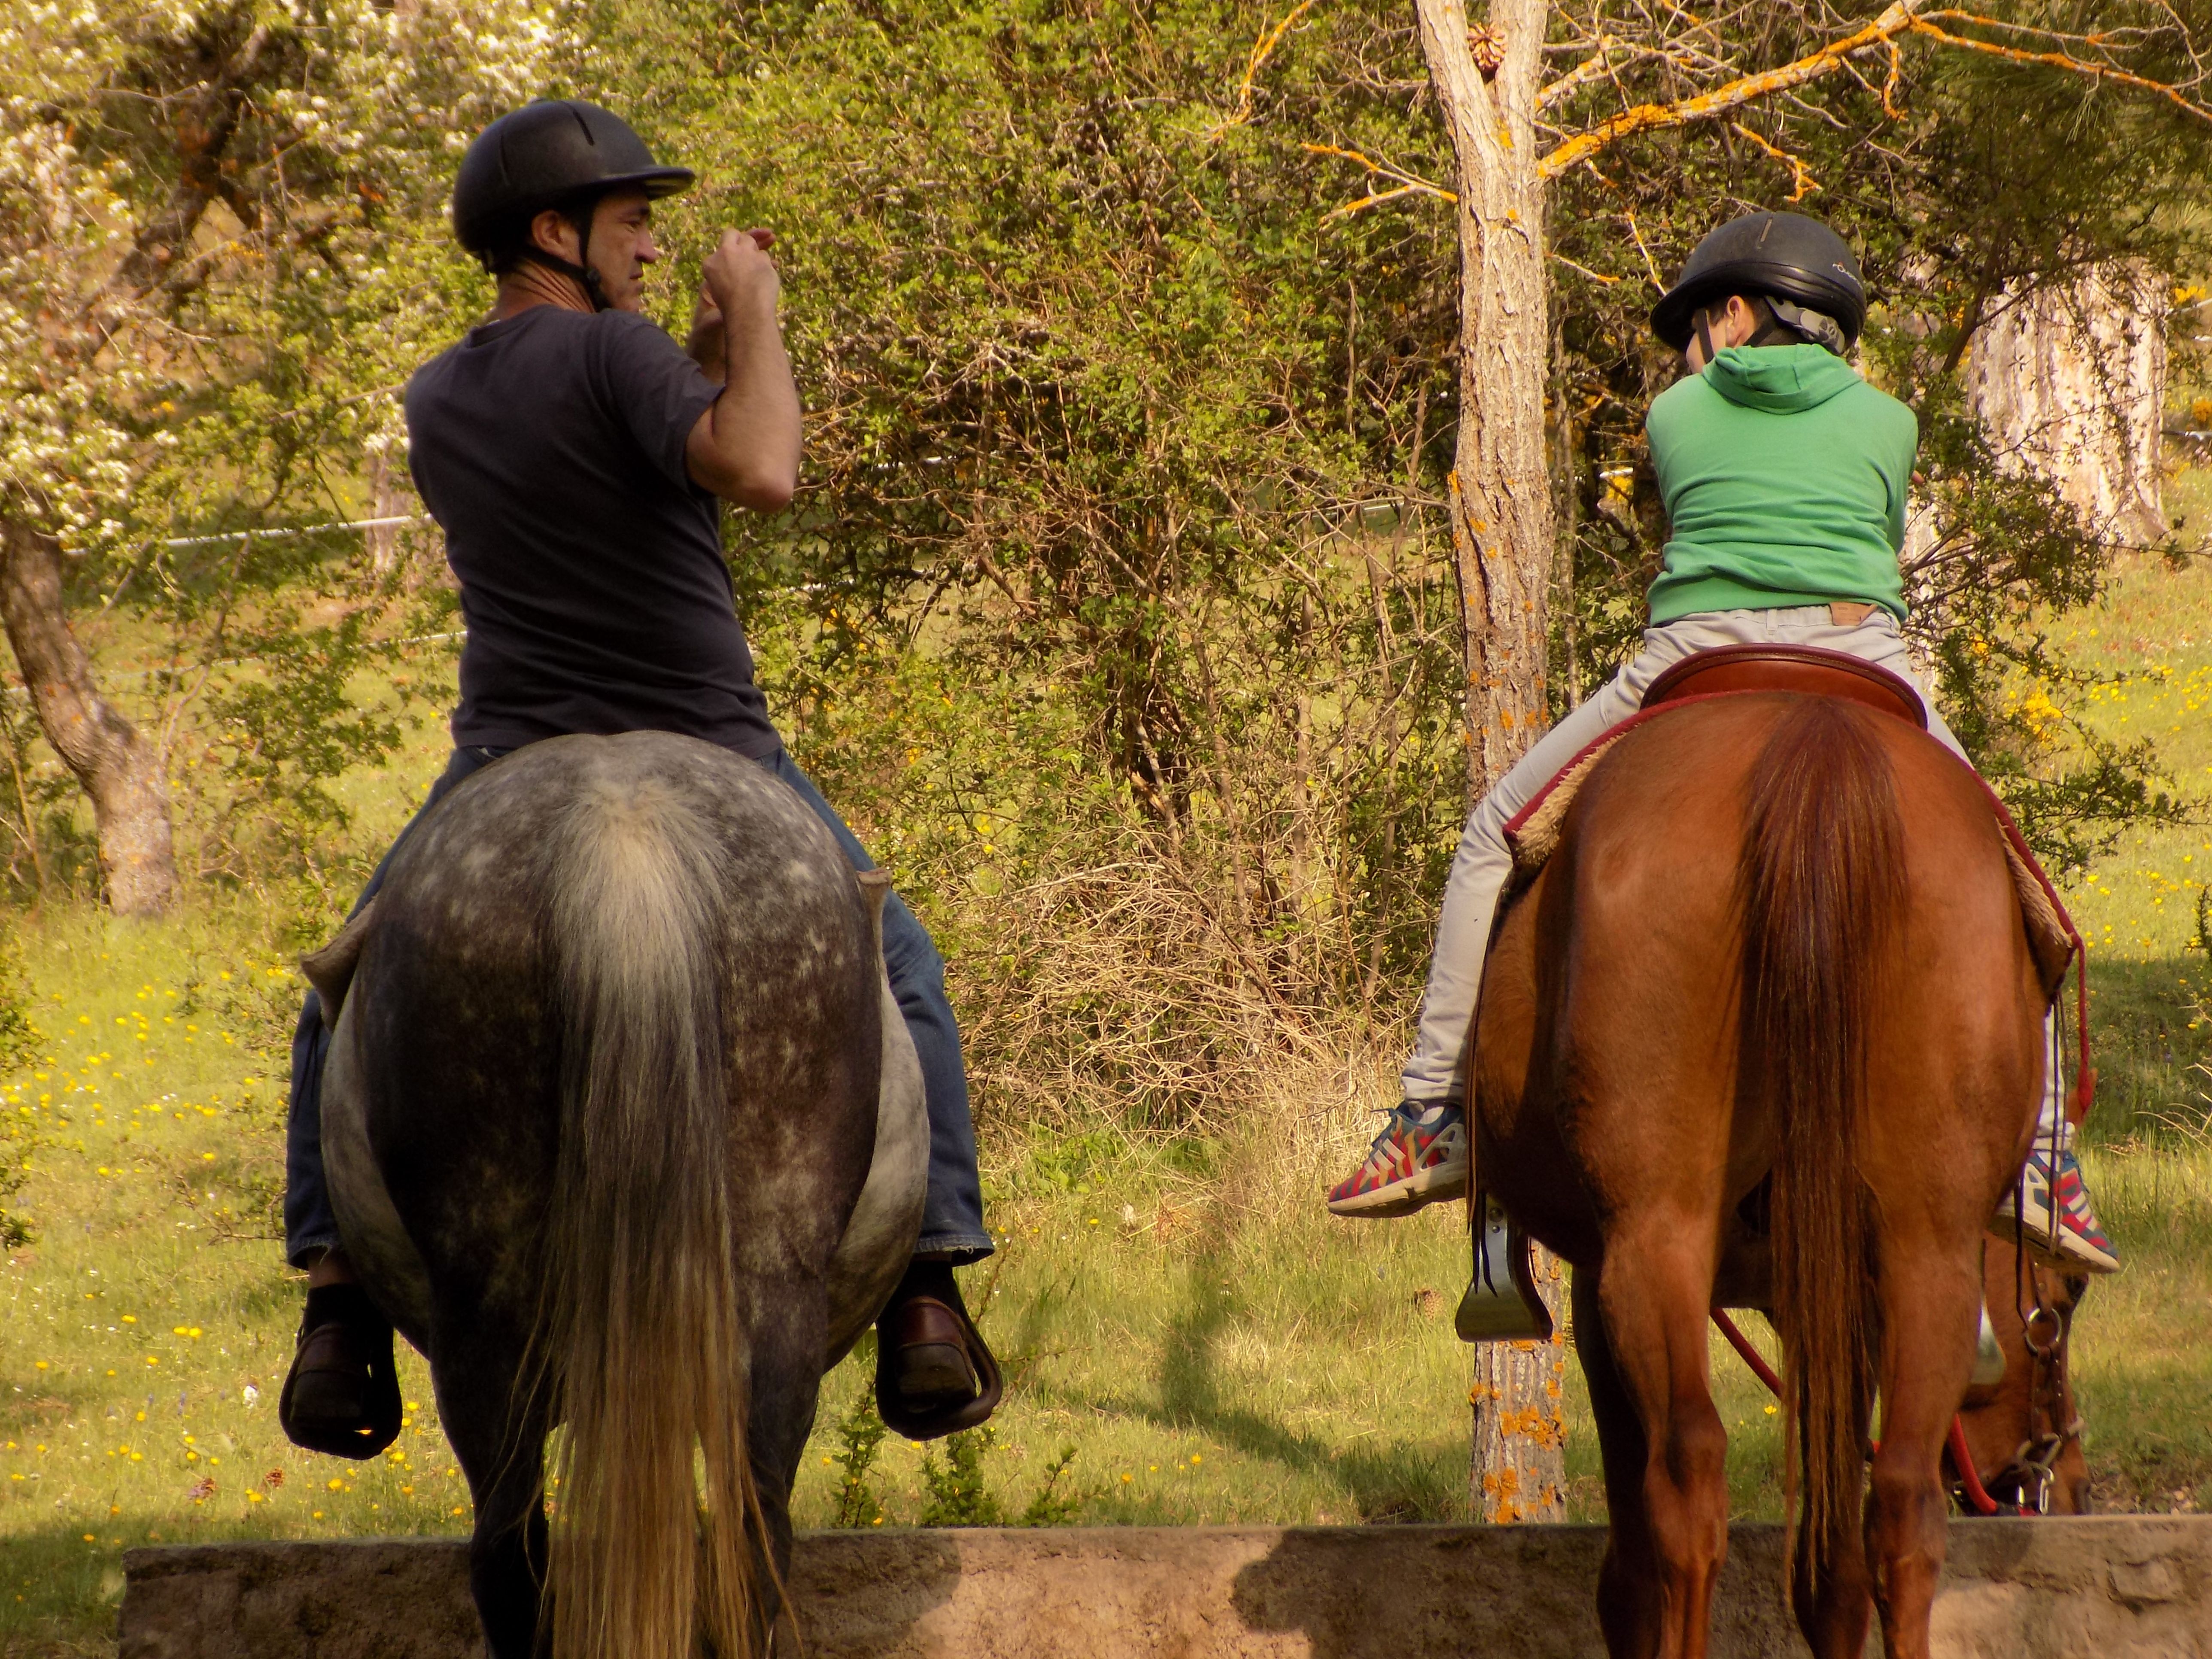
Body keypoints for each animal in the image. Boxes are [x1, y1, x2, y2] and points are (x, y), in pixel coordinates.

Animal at [1468, 694, 2053, 1654]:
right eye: (2057, 1312)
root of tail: (1812, 740)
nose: (2053, 1477)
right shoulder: (1831, 1295)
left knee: (1687, 1475)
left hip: (1655, 1235)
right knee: (1899, 1501)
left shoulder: (1599, 1277)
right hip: (1925, 1245)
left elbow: (1634, 1566)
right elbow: (1831, 1558)